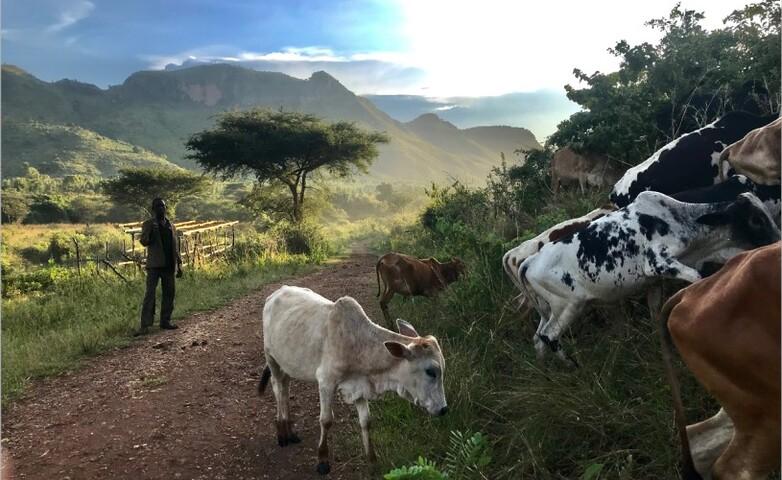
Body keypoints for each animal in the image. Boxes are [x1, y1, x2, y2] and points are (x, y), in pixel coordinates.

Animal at [259, 285, 447, 475]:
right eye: (431, 371)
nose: (443, 409)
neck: (357, 344)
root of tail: (275, 293)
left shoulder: (359, 387)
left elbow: (366, 421)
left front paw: (372, 461)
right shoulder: (326, 382)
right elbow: (326, 420)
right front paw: (322, 460)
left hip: (286, 364)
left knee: (285, 387)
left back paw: (290, 431)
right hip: (271, 358)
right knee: (278, 389)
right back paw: (282, 432)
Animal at [518, 191, 780, 363]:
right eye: (756, 219)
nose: (777, 241)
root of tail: (529, 261)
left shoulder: (653, 282)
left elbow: (656, 312)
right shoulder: (658, 263)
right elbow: (697, 278)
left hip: (550, 310)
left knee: (537, 338)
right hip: (569, 306)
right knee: (549, 336)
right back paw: (572, 366)